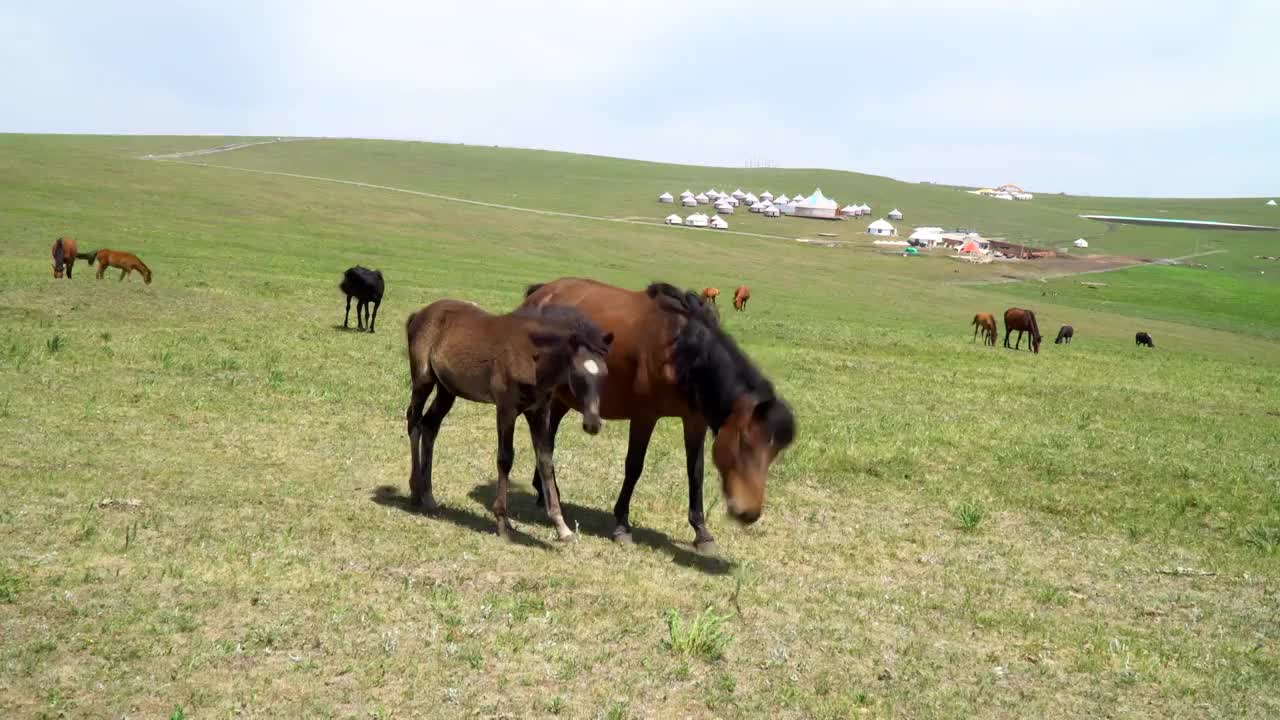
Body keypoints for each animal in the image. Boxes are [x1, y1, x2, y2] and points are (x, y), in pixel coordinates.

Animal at [407, 297, 611, 538]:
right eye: (577, 373)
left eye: (605, 374)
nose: (593, 424)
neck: (533, 357)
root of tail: (419, 314)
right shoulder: (506, 409)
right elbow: (505, 458)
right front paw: (503, 521)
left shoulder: (539, 411)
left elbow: (545, 460)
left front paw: (562, 527)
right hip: (423, 380)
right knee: (414, 422)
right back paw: (415, 492)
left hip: (447, 390)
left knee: (430, 426)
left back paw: (429, 496)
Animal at [517, 275, 793, 548]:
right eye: (745, 443)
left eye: (774, 452)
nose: (749, 513)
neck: (682, 350)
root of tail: (540, 293)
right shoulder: (644, 416)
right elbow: (634, 466)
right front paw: (622, 525)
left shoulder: (695, 421)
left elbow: (696, 472)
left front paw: (701, 531)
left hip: (561, 397)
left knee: (547, 440)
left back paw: (543, 493)